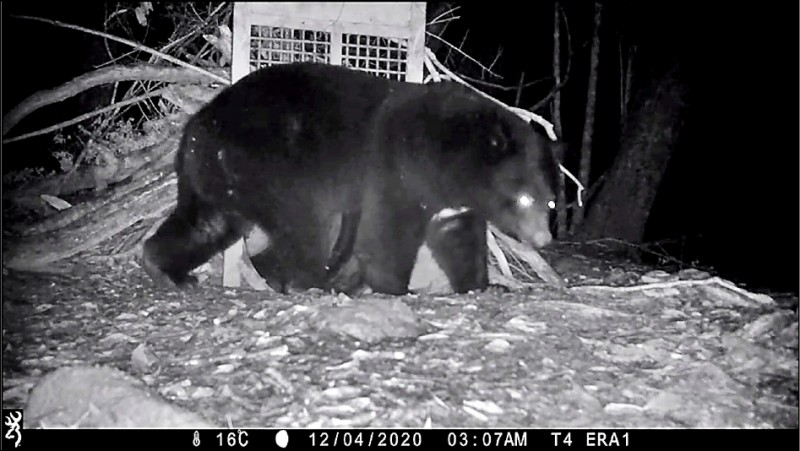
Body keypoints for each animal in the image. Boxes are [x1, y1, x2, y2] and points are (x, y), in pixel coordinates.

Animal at [141, 62, 560, 296]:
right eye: (524, 198)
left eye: (551, 202)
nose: (544, 239)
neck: (447, 158)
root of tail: (197, 134)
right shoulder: (395, 168)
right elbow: (388, 228)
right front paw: (394, 288)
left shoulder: (453, 200)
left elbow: (457, 236)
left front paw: (483, 285)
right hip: (277, 170)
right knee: (305, 227)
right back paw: (305, 281)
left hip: (221, 183)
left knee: (205, 224)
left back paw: (165, 269)